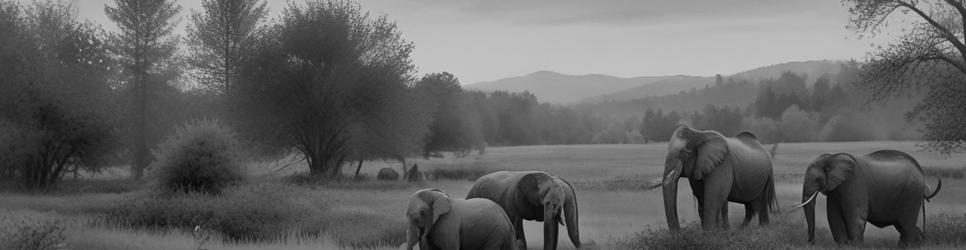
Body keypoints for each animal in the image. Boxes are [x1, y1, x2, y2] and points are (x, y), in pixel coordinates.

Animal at [656, 125, 784, 230]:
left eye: (686, 152)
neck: (699, 134)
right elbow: (702, 197)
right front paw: (713, 233)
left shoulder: (722, 163)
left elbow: (713, 197)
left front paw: (712, 235)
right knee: (749, 206)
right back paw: (742, 229)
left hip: (767, 175)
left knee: (761, 201)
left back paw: (761, 229)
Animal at [796, 149, 940, 247]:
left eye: (818, 179)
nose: (811, 242)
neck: (832, 157)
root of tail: (921, 172)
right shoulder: (835, 191)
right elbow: (833, 216)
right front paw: (843, 246)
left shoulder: (854, 184)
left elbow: (856, 217)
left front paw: (856, 246)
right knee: (903, 225)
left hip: (912, 193)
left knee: (906, 225)